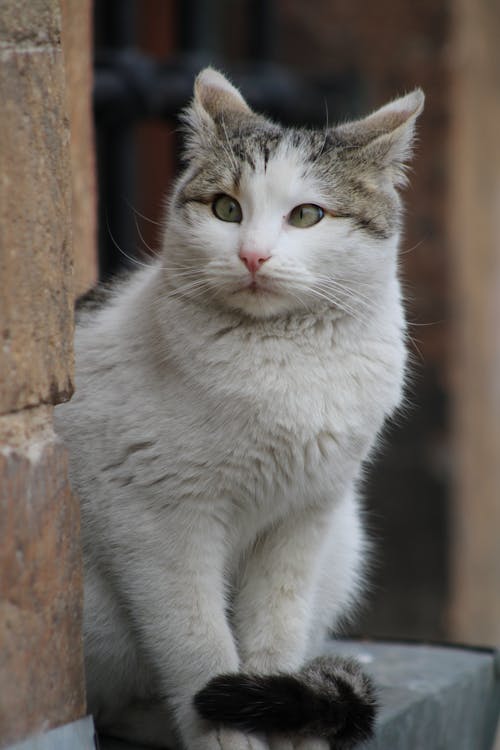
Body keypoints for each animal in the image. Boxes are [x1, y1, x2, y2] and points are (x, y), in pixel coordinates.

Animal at [53, 66, 422, 750]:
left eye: (307, 215)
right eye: (227, 208)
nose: (252, 255)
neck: (285, 360)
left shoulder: (305, 518)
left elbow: (275, 632)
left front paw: (280, 719)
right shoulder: (162, 527)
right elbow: (197, 646)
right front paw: (225, 734)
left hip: (343, 545)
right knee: (114, 706)